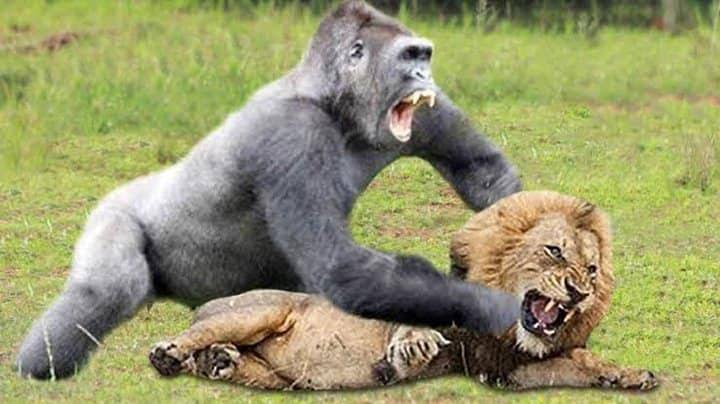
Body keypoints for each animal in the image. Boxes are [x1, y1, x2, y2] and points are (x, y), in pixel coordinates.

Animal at [15, 1, 521, 379]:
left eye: (424, 57)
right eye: (407, 57)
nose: (423, 78)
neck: (331, 98)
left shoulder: (420, 112)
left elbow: (482, 171)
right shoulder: (293, 132)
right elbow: (342, 268)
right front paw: (491, 306)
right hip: (114, 211)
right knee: (110, 288)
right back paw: (37, 367)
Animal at [148, 191, 658, 391]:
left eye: (591, 270)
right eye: (554, 251)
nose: (579, 292)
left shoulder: (501, 368)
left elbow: (580, 364)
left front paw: (629, 376)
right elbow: (411, 320)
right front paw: (409, 349)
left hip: (277, 375)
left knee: (229, 360)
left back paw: (217, 362)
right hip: (257, 311)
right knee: (193, 336)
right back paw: (170, 353)